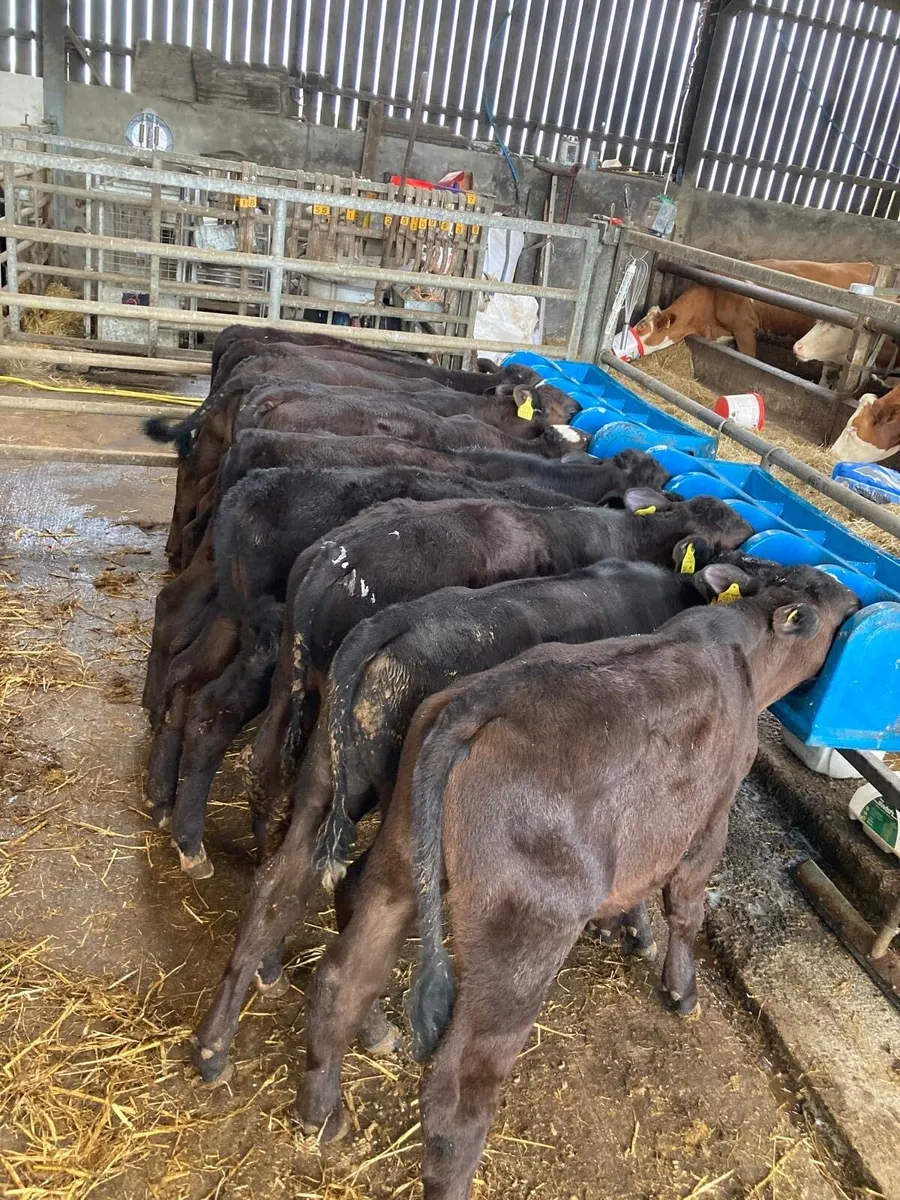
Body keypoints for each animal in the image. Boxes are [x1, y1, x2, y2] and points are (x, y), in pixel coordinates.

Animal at [189, 493, 752, 1085]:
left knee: (278, 850)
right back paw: (364, 1024)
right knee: (351, 888)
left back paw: (221, 1034)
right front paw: (634, 930)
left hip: (320, 750)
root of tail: (332, 559)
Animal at [296, 562, 859, 1198]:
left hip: (397, 867)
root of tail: (475, 703)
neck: (740, 648)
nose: (856, 598)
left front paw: (621, 927)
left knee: (342, 980)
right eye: (836, 607)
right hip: (521, 941)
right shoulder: (710, 816)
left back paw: (322, 1112)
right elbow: (686, 906)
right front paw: (680, 987)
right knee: (457, 1091)